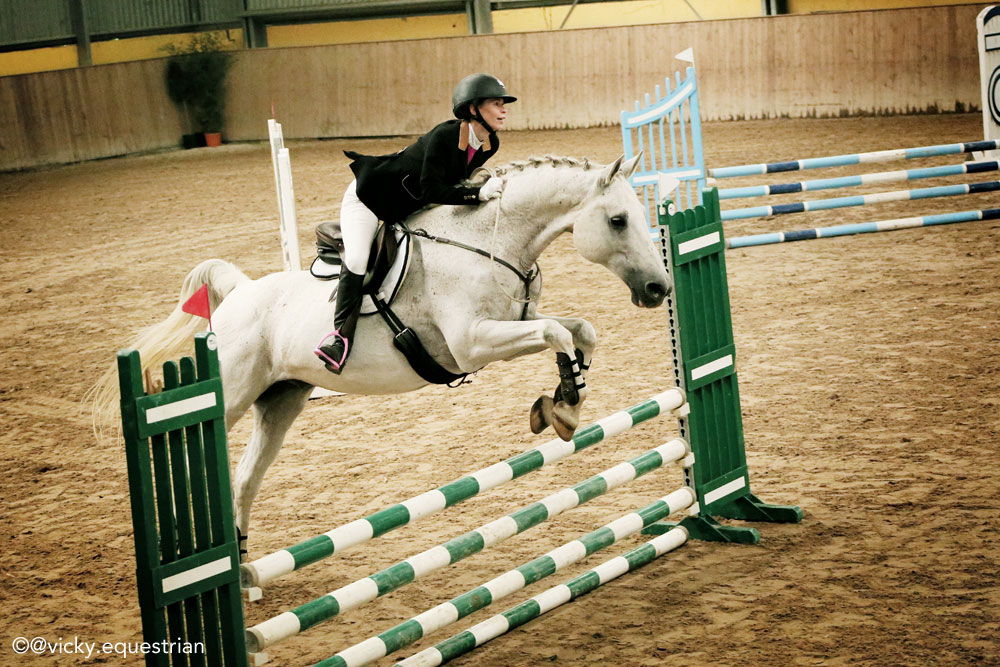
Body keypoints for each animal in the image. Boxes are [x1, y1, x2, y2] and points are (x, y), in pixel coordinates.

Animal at [95, 154, 672, 552]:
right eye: (618, 220)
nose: (658, 289)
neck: (492, 241)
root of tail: (238, 292)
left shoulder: (514, 323)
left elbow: (579, 331)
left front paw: (564, 403)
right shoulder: (473, 343)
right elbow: (557, 333)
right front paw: (565, 406)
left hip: (281, 399)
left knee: (243, 480)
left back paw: (240, 567)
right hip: (233, 393)